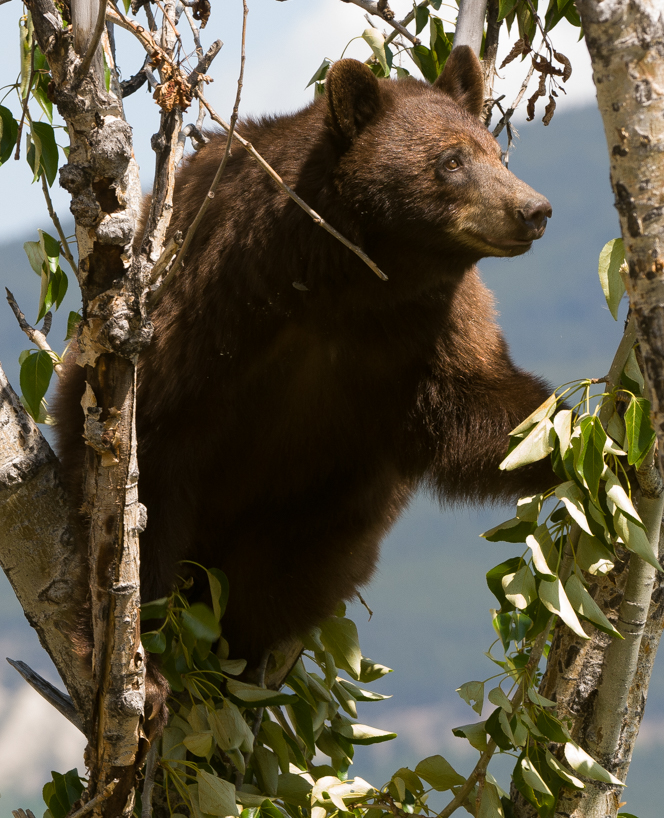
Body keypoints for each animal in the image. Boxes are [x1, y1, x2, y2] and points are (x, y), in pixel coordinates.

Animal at [54, 46, 554, 676]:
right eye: (452, 160)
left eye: (495, 151)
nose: (534, 209)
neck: (334, 286)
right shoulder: (206, 307)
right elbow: (151, 471)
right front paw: (148, 647)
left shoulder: (427, 328)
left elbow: (479, 409)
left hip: (322, 515)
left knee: (282, 576)